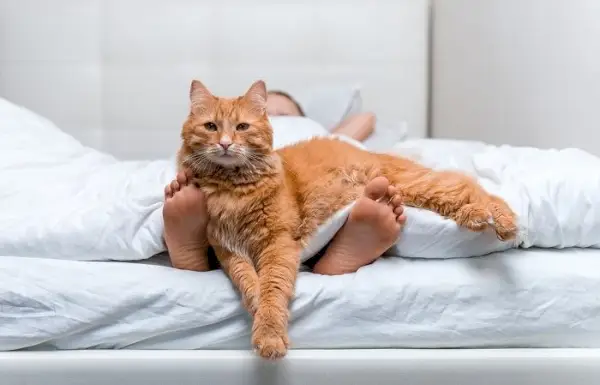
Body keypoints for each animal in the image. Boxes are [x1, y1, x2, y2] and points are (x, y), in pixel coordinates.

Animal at [176, 79, 516, 358]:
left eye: (242, 127)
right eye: (211, 126)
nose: (225, 143)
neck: (233, 190)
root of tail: (371, 154)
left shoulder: (278, 242)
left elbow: (272, 286)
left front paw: (270, 332)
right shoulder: (228, 250)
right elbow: (249, 283)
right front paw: (257, 307)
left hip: (415, 185)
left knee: (469, 186)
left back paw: (502, 221)